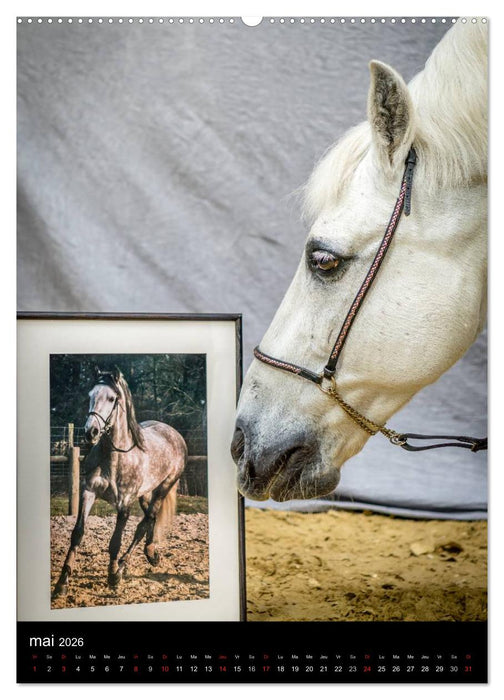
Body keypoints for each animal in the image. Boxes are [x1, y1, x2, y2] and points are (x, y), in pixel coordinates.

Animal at [52, 367, 187, 597]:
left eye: (112, 398)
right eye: (90, 395)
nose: (90, 432)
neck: (114, 456)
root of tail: (174, 434)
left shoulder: (124, 504)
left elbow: (115, 542)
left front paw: (113, 576)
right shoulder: (88, 492)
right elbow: (77, 534)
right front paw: (62, 583)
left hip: (164, 487)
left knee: (143, 524)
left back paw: (124, 565)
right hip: (145, 494)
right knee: (151, 519)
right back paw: (151, 554)